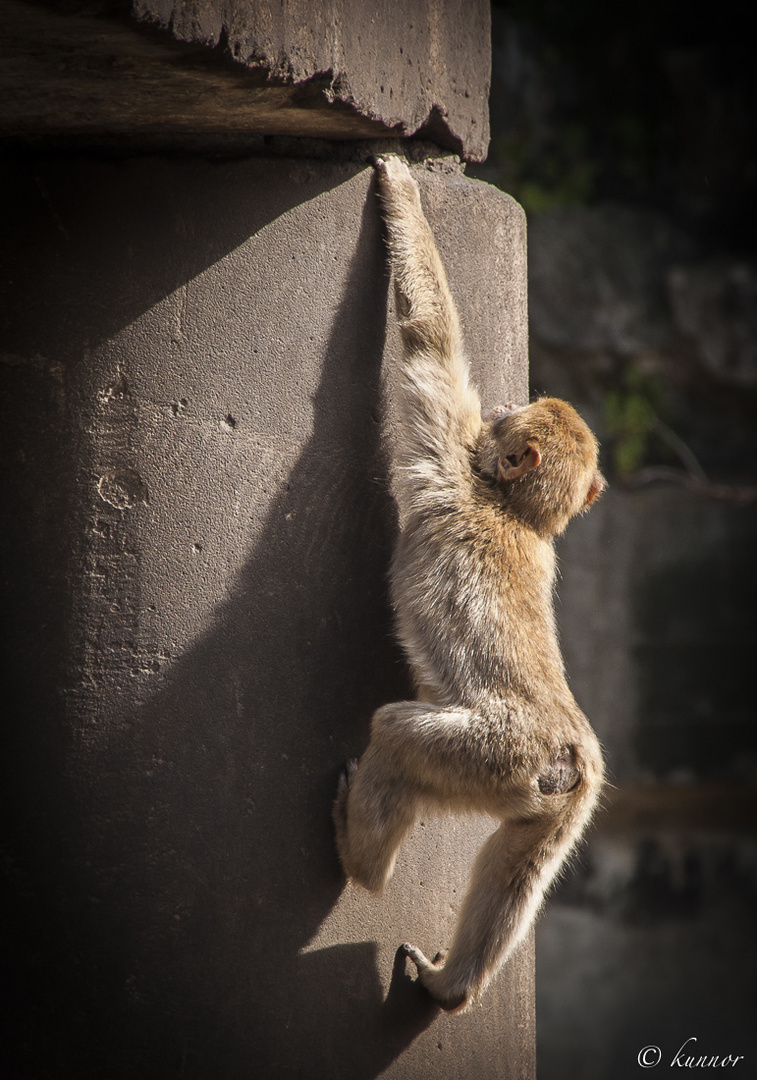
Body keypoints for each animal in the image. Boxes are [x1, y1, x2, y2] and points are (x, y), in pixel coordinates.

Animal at [332, 156, 604, 1015]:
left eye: (510, 412)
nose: (505, 405)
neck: (515, 510)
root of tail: (562, 752)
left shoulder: (446, 462)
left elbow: (426, 345)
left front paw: (400, 190)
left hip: (489, 753)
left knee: (395, 732)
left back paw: (360, 863)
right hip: (555, 793)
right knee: (520, 859)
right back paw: (451, 989)